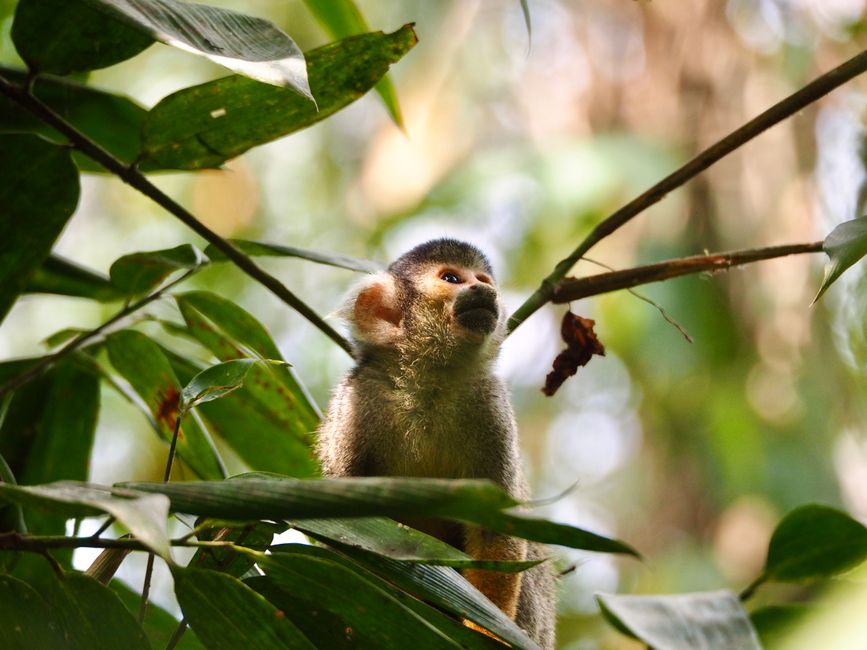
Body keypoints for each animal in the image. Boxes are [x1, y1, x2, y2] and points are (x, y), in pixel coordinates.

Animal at [317, 238, 556, 649]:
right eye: (451, 279)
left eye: (482, 279)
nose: (484, 290)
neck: (429, 381)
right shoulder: (358, 398)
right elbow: (346, 521)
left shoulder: (490, 404)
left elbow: (496, 531)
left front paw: (488, 632)